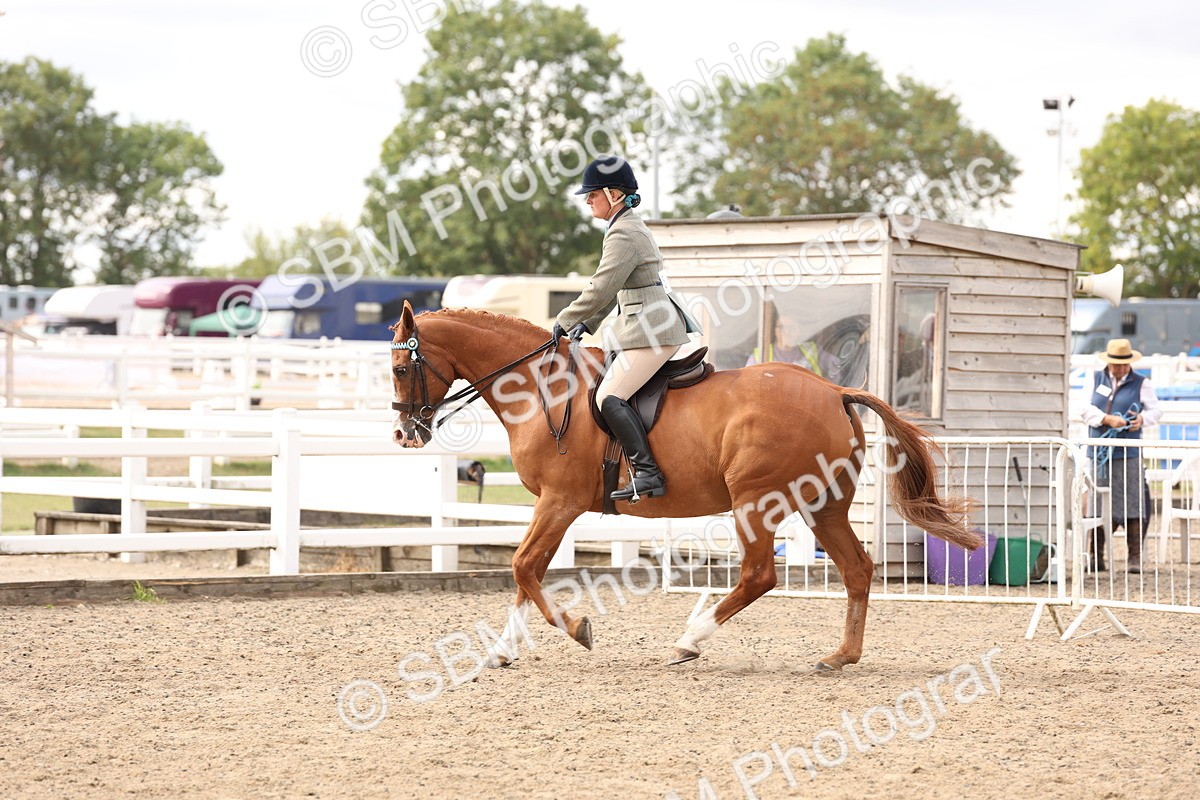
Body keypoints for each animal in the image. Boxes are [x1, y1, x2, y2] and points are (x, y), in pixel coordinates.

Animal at [388, 301, 980, 671]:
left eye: (398, 368)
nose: (403, 434)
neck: (541, 390)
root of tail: (834, 390)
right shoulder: (552, 506)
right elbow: (523, 573)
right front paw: (503, 652)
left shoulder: (560, 502)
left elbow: (523, 566)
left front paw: (578, 629)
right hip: (823, 505)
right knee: (856, 569)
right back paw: (840, 657)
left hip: (755, 502)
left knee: (759, 574)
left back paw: (688, 642)